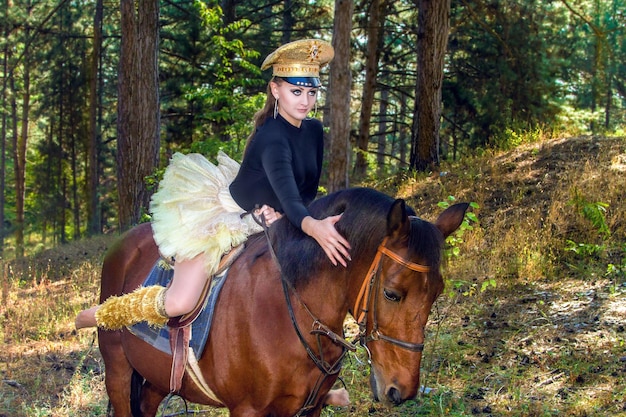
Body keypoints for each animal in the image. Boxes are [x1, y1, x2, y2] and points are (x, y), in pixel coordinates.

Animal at [97, 188, 466, 416]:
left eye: (437, 293)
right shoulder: (247, 409)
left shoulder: (311, 408)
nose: (401, 390)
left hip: (156, 376)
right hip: (117, 369)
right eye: (392, 293)